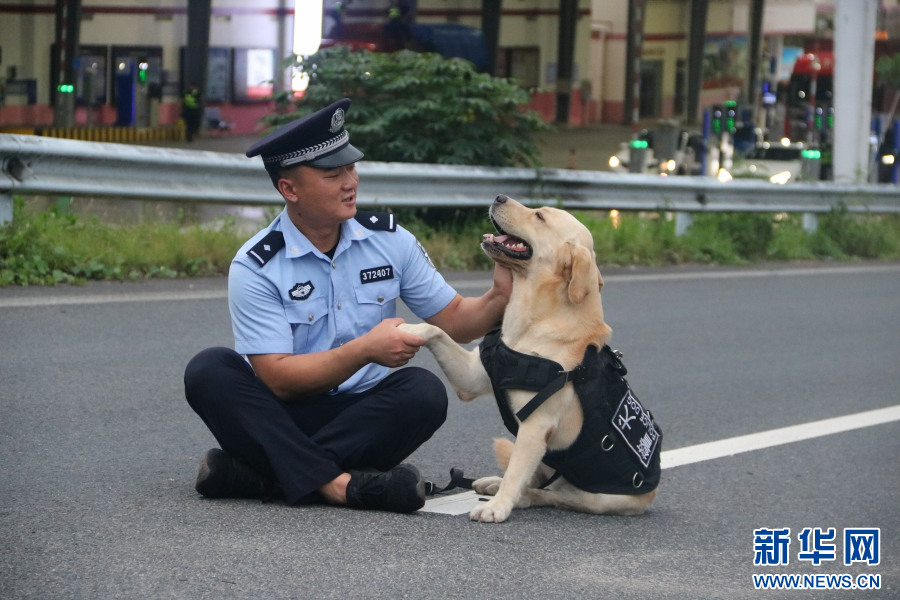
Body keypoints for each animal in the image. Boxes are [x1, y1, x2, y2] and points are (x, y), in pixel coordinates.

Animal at [400, 195, 661, 523]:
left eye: (540, 217)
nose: (499, 197)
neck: (531, 322)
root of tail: (650, 495)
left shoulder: (536, 426)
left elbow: (516, 473)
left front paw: (498, 507)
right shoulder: (472, 378)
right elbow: (435, 329)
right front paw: (405, 330)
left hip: (597, 497)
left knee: (550, 493)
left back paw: (517, 497)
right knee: (534, 476)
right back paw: (492, 482)